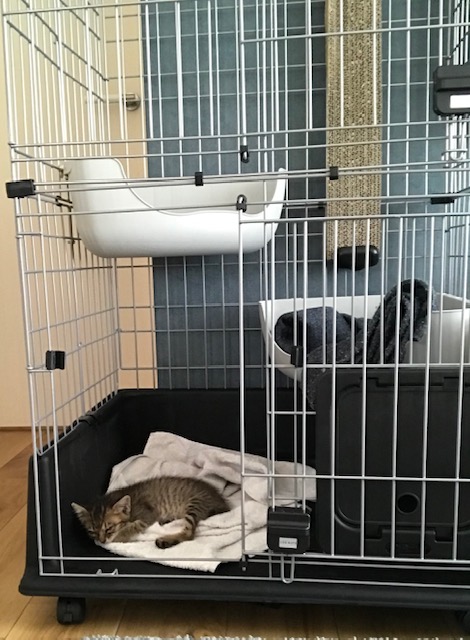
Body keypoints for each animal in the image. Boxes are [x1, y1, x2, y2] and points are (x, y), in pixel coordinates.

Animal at [72, 476, 230, 549]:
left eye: (109, 528)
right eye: (92, 531)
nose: (102, 541)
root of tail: (222, 502)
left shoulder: (147, 514)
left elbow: (132, 526)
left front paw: (119, 537)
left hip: (195, 504)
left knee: (189, 534)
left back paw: (165, 540)